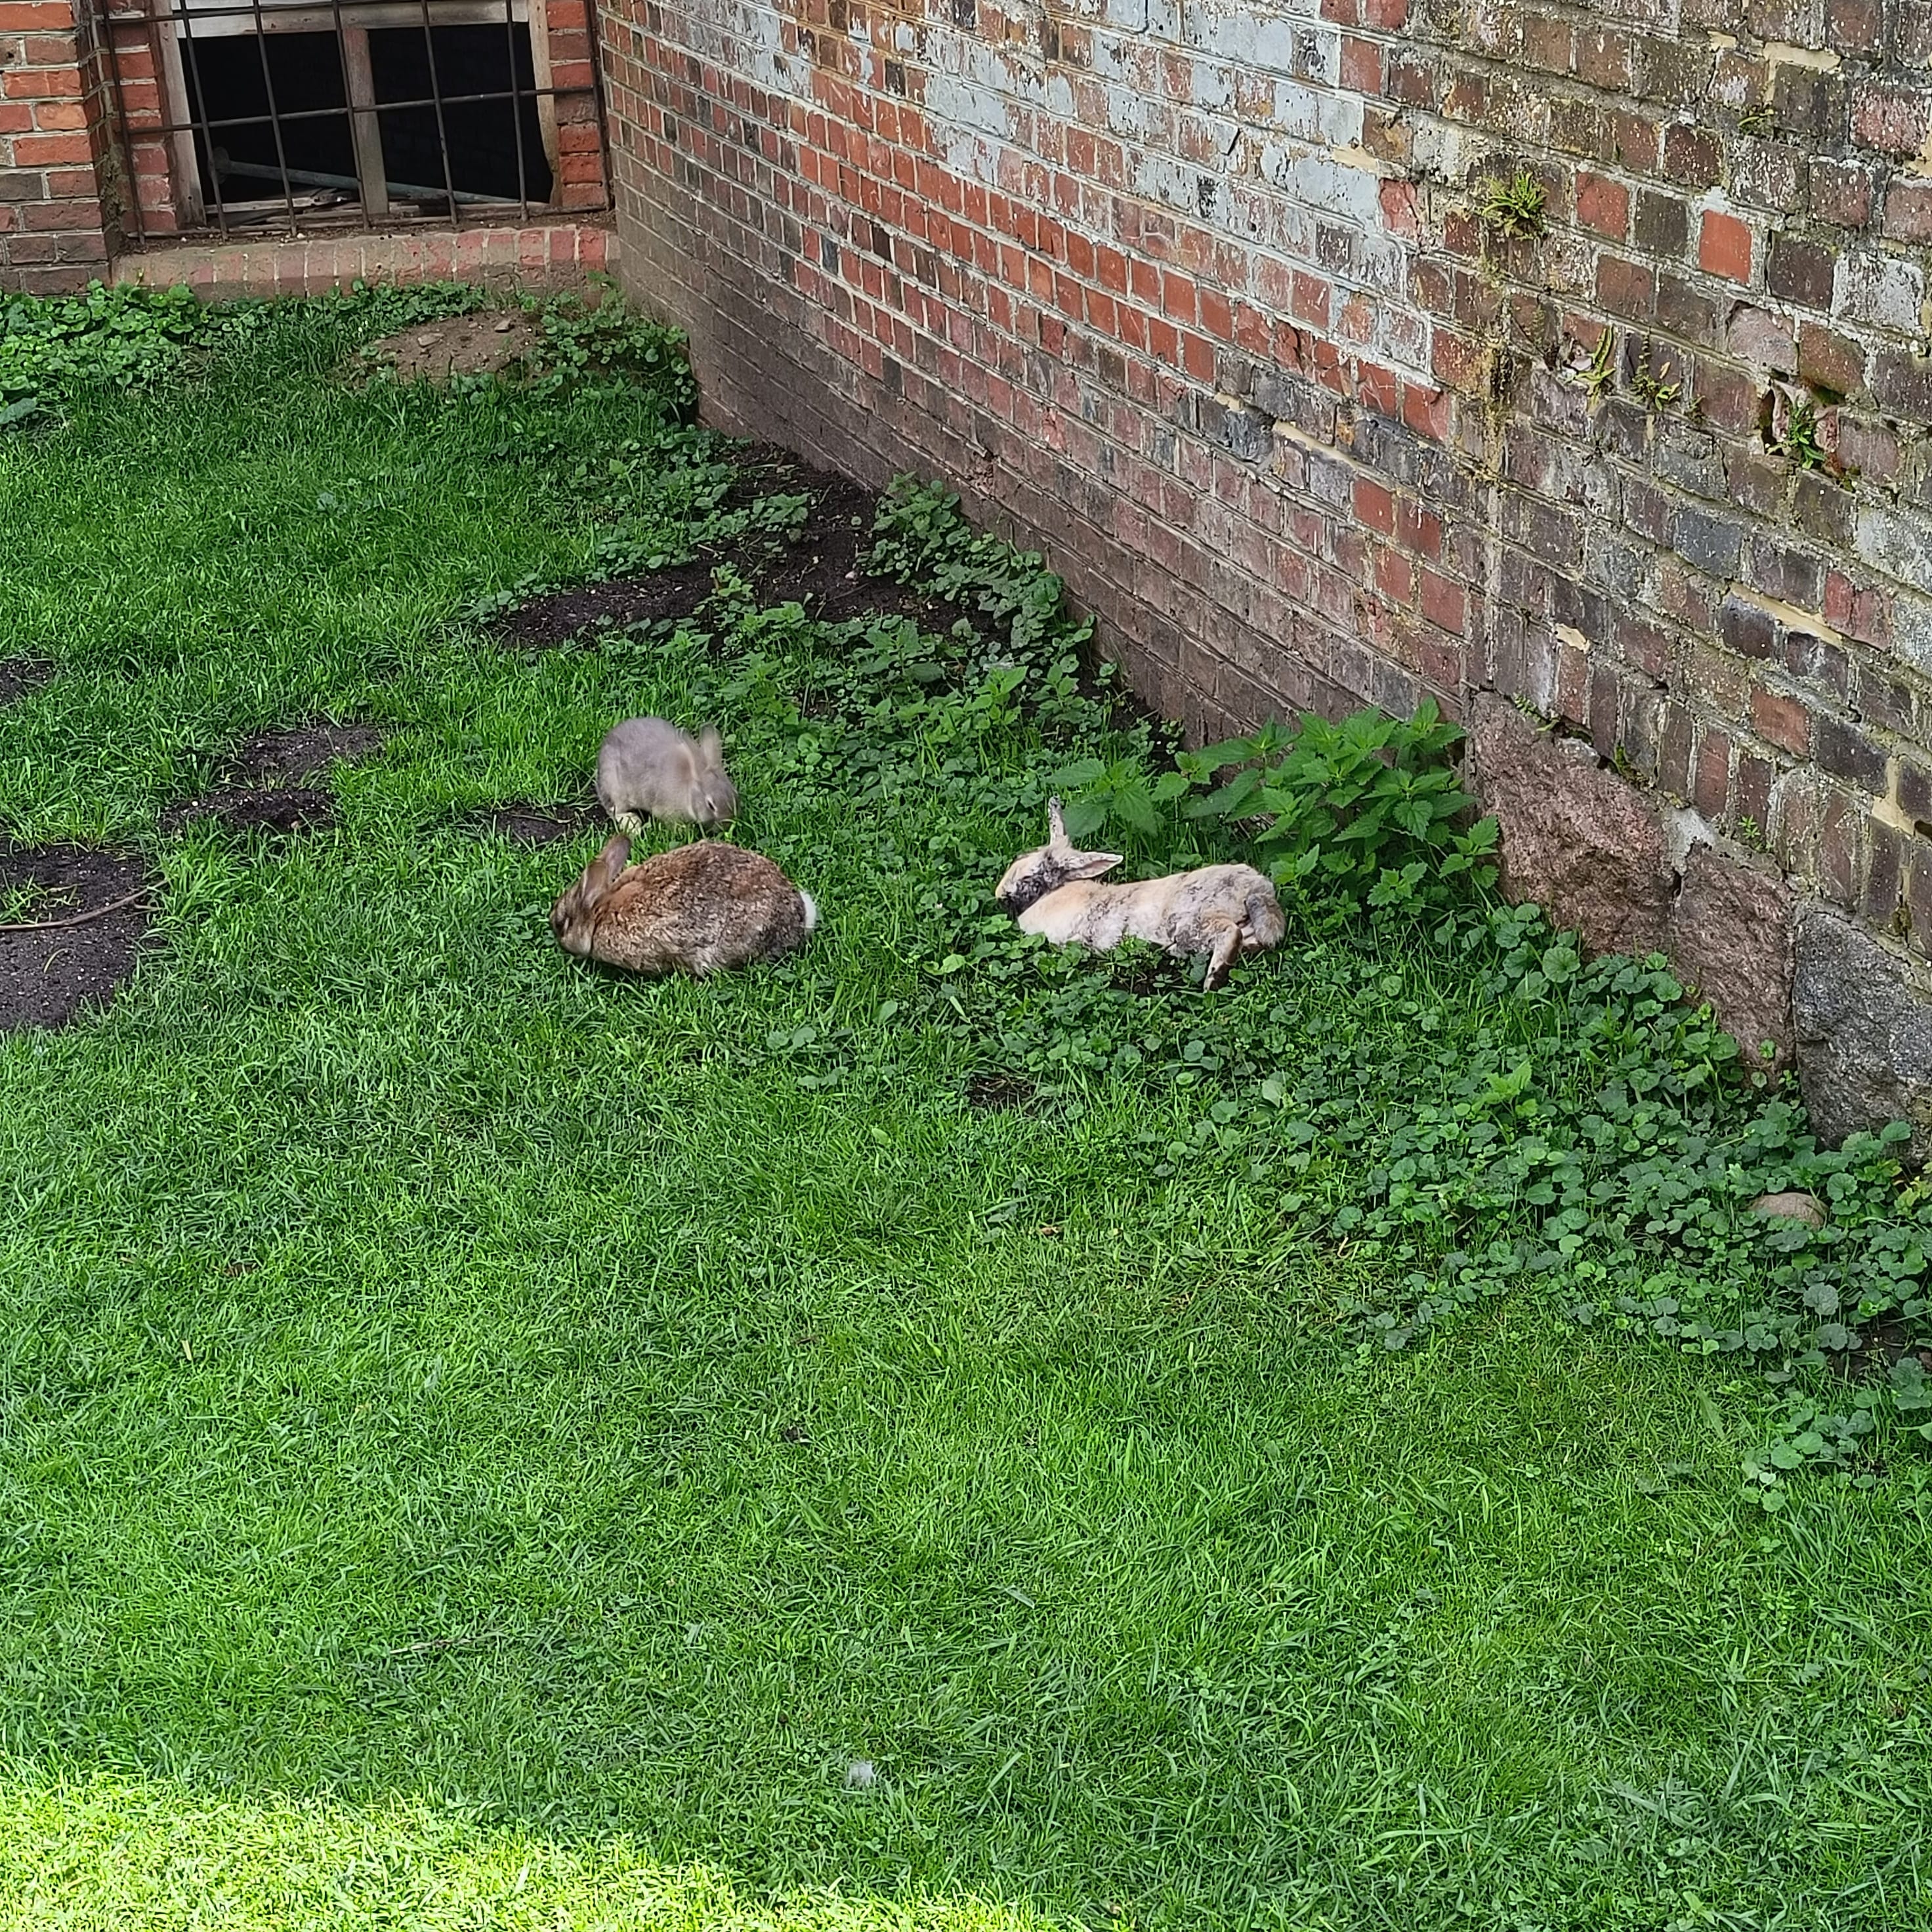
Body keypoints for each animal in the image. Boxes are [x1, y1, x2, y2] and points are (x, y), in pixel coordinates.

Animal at [595, 717, 737, 838]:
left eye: (735, 794)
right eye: (710, 805)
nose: (727, 824)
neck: (689, 790)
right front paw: (682, 831)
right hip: (617, 789)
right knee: (615, 810)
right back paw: (633, 825)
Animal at [994, 797, 1285, 989]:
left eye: (1028, 877)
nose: (999, 896)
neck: (1052, 892)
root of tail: (1256, 888)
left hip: (1190, 923)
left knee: (1228, 933)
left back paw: (1213, 980)